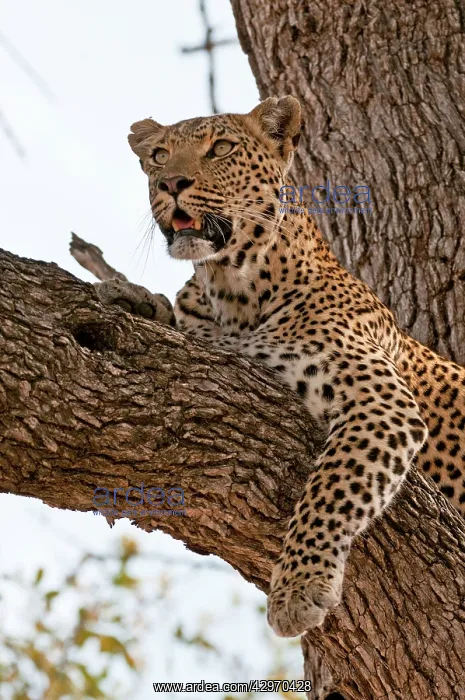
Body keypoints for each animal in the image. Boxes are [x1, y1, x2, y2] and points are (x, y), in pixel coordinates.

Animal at [95, 96, 465, 640]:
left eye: (221, 148)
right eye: (160, 156)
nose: (172, 184)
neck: (231, 289)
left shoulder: (381, 401)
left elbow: (333, 485)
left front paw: (297, 586)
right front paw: (130, 297)